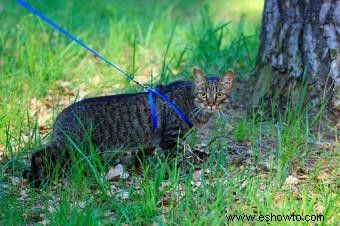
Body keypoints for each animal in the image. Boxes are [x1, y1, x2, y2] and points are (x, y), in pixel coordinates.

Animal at [26, 68, 234, 186]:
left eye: (219, 95)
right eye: (203, 94)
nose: (211, 104)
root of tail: (60, 116)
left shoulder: (153, 142)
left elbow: (141, 159)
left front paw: (139, 172)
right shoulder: (171, 138)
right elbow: (177, 160)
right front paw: (184, 175)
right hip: (70, 146)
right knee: (38, 155)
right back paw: (37, 180)